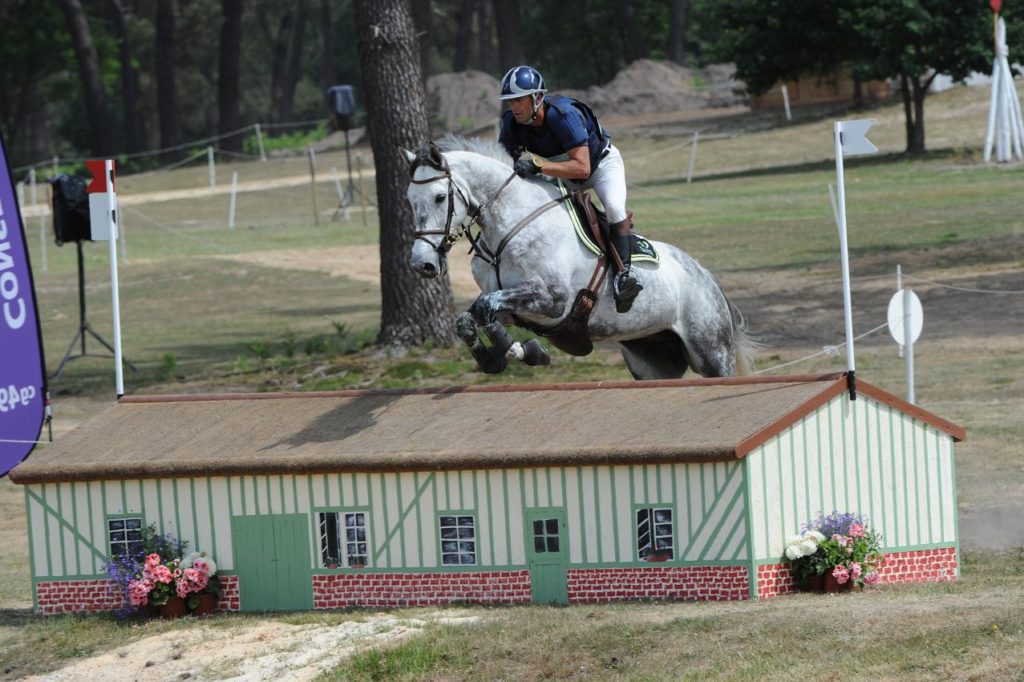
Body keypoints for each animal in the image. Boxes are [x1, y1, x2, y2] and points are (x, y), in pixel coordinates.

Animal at [403, 139, 757, 378]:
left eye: (439, 197)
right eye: (408, 199)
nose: (422, 264)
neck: (509, 225)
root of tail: (708, 277)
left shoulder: (553, 300)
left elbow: (485, 306)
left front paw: (527, 352)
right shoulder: (516, 305)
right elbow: (471, 316)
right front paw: (504, 356)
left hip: (711, 353)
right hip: (651, 360)